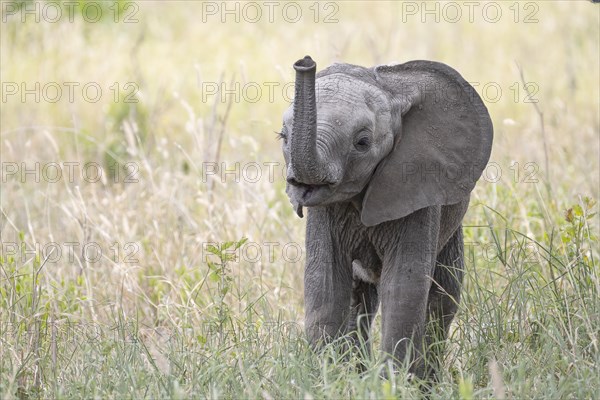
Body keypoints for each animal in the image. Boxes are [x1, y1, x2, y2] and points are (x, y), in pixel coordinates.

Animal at [278, 55, 494, 378]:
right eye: (283, 137)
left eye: (362, 142)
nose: (305, 62)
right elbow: (325, 283)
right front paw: (331, 379)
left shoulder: (417, 187)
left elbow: (404, 285)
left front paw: (393, 382)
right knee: (358, 301)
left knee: (443, 296)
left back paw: (426, 380)